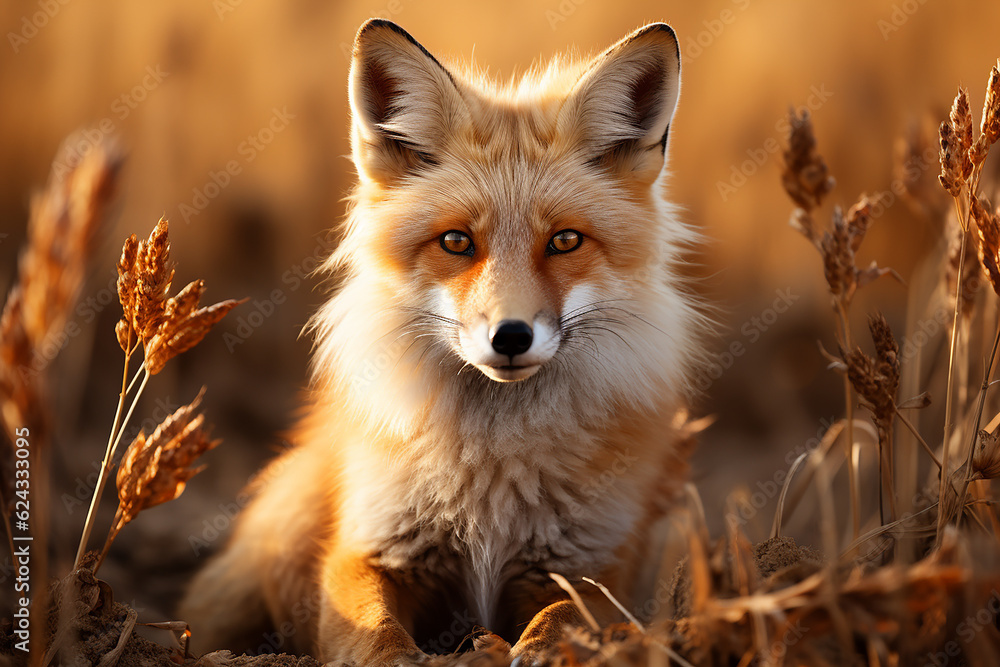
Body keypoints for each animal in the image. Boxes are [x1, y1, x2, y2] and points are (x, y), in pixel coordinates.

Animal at [180, 18, 708, 666]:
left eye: (564, 241)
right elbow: (373, 635)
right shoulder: (370, 553)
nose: (511, 335)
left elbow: (564, 619)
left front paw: (540, 648)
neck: (491, 477)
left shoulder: (595, 568)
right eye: (457, 242)